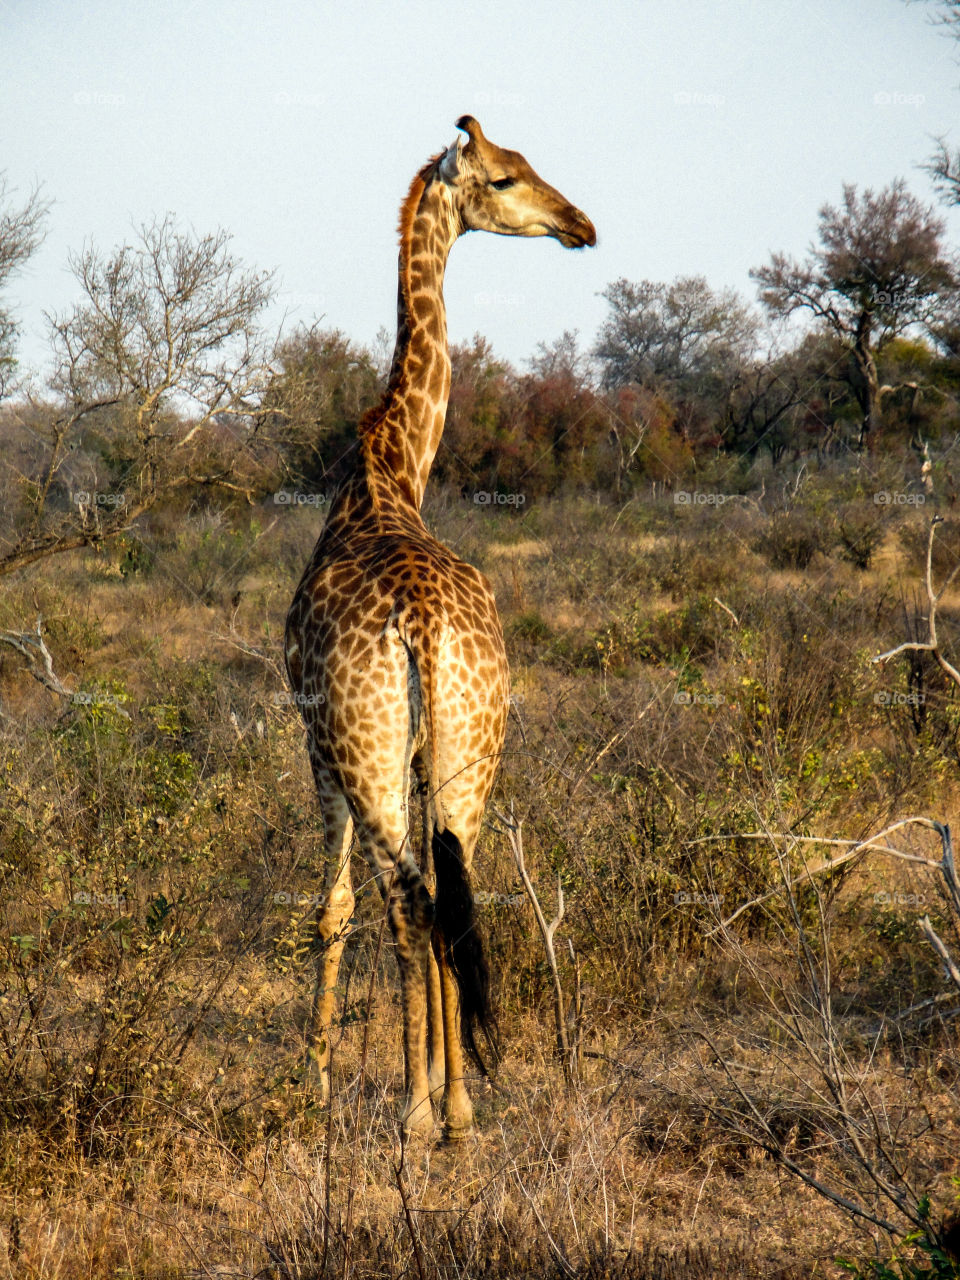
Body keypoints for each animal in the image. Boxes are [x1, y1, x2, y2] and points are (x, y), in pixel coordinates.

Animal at [284, 115, 595, 1138]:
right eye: (505, 178)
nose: (580, 225)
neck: (388, 468)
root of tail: (419, 625)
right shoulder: (422, 758)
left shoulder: (318, 747)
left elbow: (337, 907)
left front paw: (315, 1079)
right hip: (471, 751)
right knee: (455, 898)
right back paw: (459, 1107)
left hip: (370, 750)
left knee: (411, 901)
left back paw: (423, 1114)